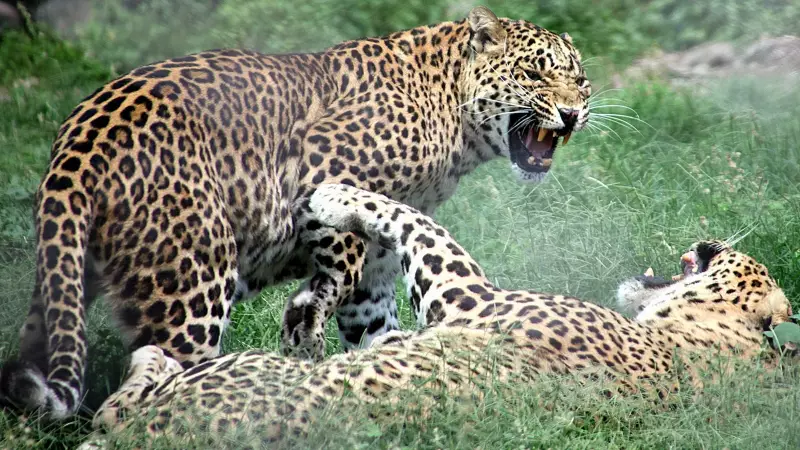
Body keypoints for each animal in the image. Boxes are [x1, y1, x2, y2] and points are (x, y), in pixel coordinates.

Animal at [0, 6, 592, 418]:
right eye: (535, 76)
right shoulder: (324, 157)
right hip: (191, 289)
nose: (572, 112)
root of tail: (78, 143)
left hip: (64, 279)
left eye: (580, 81)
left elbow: (373, 322)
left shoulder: (378, 271)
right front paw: (305, 319)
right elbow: (336, 254)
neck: (454, 114)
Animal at [77, 184, 793, 447]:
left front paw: (331, 196)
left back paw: (150, 357)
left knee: (119, 404)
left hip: (212, 374)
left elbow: (415, 220)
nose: (712, 238)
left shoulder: (465, 295)